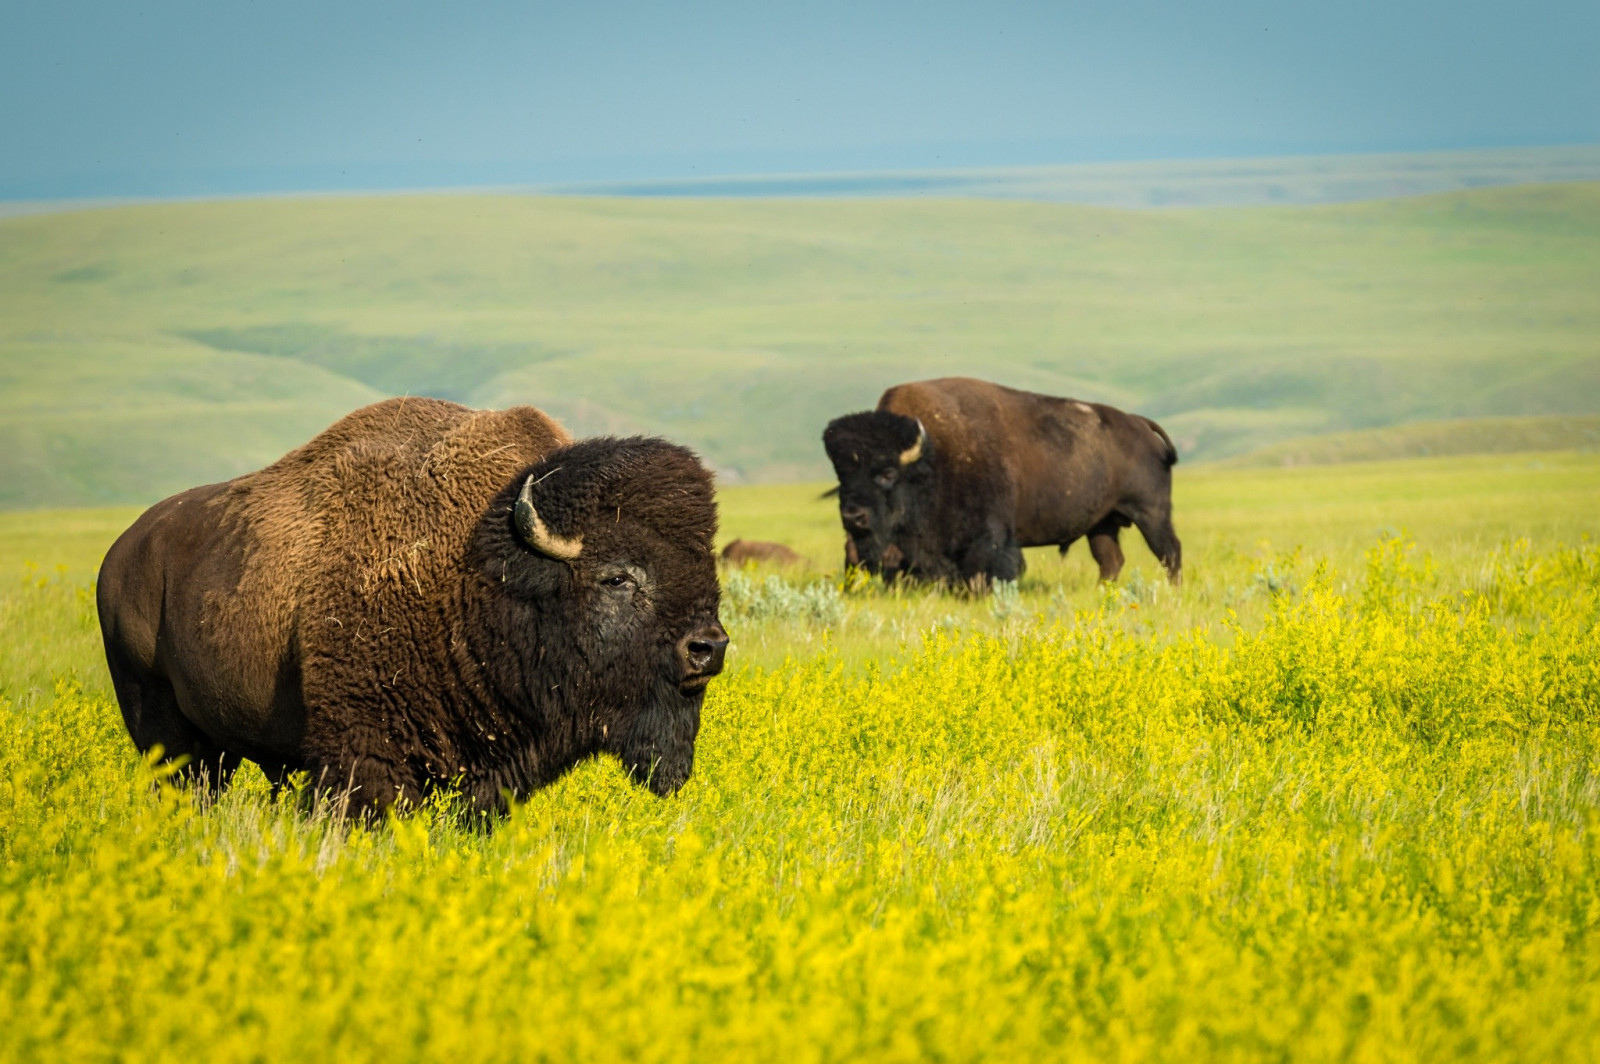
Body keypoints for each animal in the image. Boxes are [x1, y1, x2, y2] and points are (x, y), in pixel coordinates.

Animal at [97, 397, 728, 818]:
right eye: (617, 576)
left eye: (708, 569)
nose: (708, 648)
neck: (479, 573)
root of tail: (121, 554)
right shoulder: (364, 757)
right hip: (165, 733)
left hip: (214, 744)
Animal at [823, 377, 1180, 588]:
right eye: (842, 476)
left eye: (888, 474)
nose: (853, 517)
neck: (933, 456)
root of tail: (1138, 423)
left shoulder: (989, 535)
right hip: (1102, 524)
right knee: (1111, 560)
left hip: (1151, 514)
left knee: (1169, 552)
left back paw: (1172, 592)